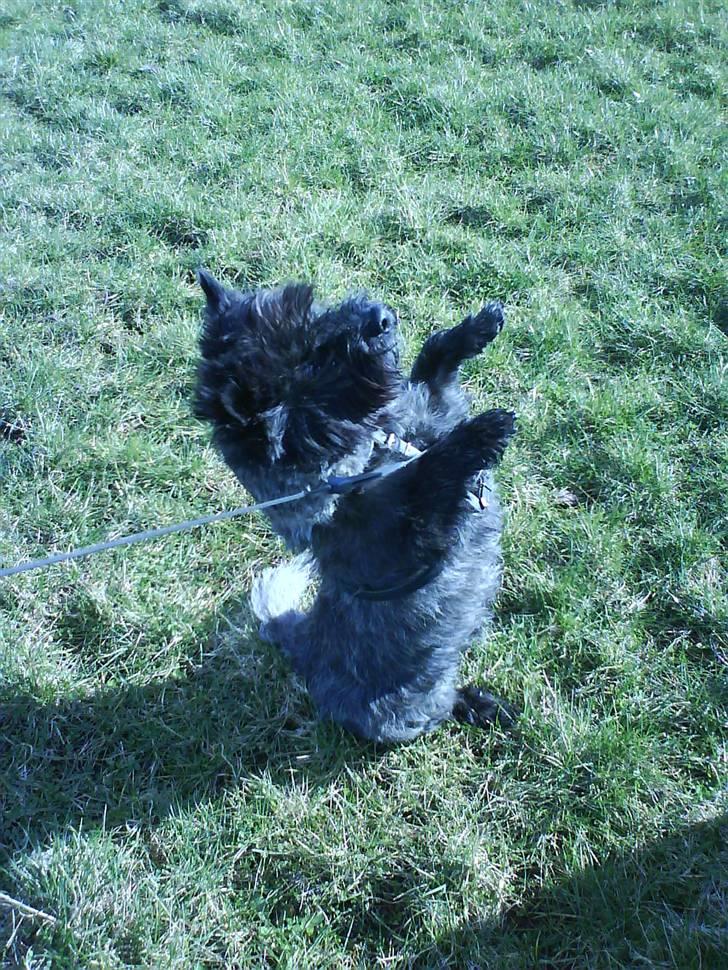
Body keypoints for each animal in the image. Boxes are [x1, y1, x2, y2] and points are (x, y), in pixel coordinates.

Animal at [196, 272, 516, 740]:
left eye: (312, 312)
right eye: (313, 361)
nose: (379, 316)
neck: (365, 460)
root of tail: (302, 651)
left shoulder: (437, 408)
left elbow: (433, 360)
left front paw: (480, 325)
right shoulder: (413, 536)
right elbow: (434, 472)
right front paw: (484, 431)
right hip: (409, 709)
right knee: (439, 707)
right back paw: (479, 705)